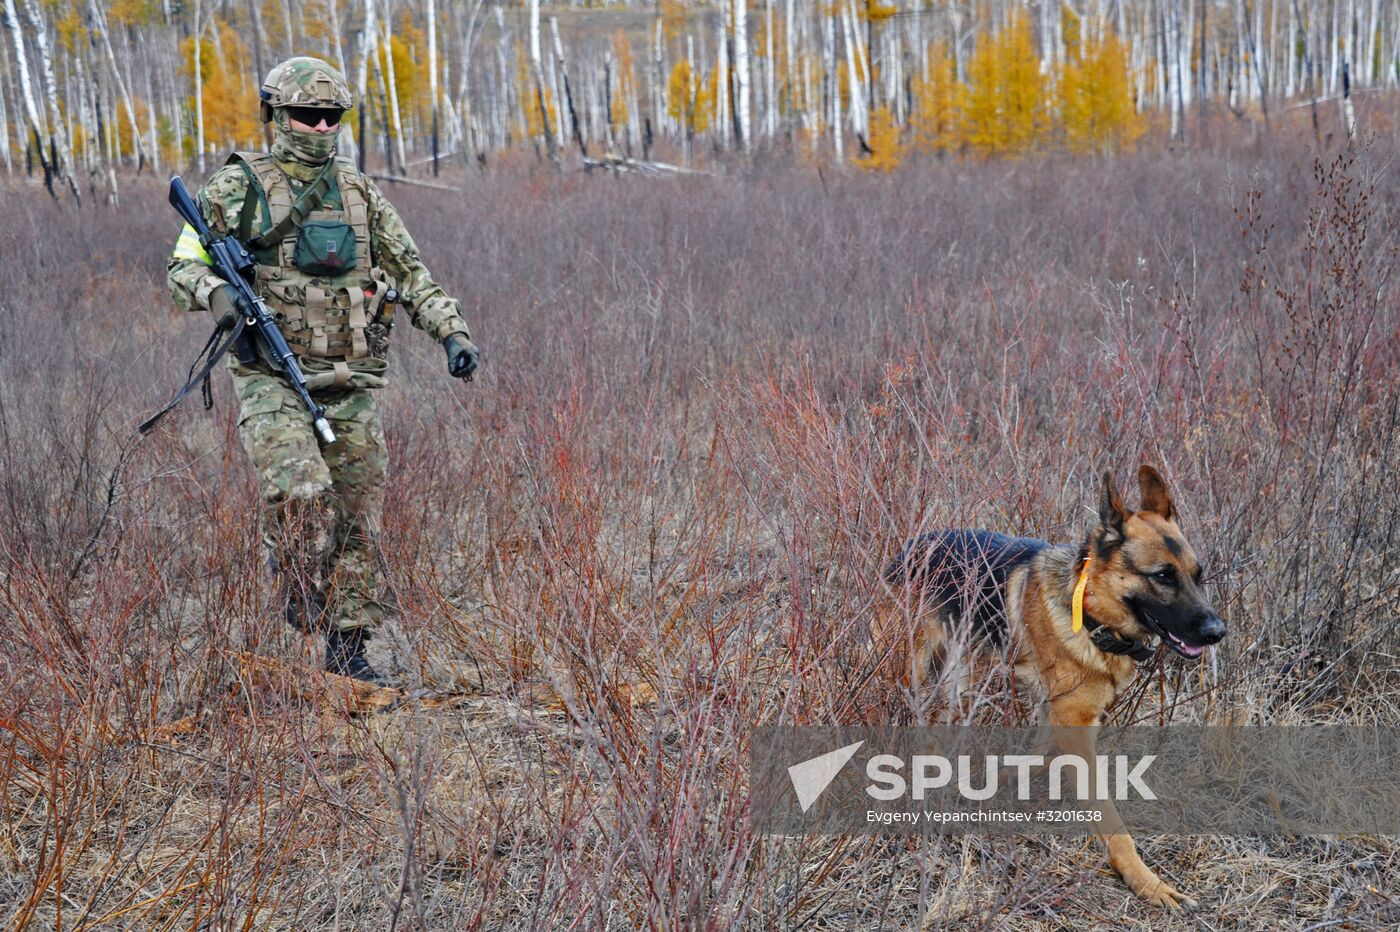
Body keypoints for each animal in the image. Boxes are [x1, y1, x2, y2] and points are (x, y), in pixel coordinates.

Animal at [873, 464, 1226, 906]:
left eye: (1198, 575)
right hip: (912, 667)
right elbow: (1111, 820)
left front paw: (997, 778)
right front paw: (1145, 881)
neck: (1091, 612)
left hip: (959, 678)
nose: (1218, 631)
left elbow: (1035, 757)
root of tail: (911, 544)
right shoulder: (1073, 724)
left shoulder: (1058, 715)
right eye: (1163, 576)